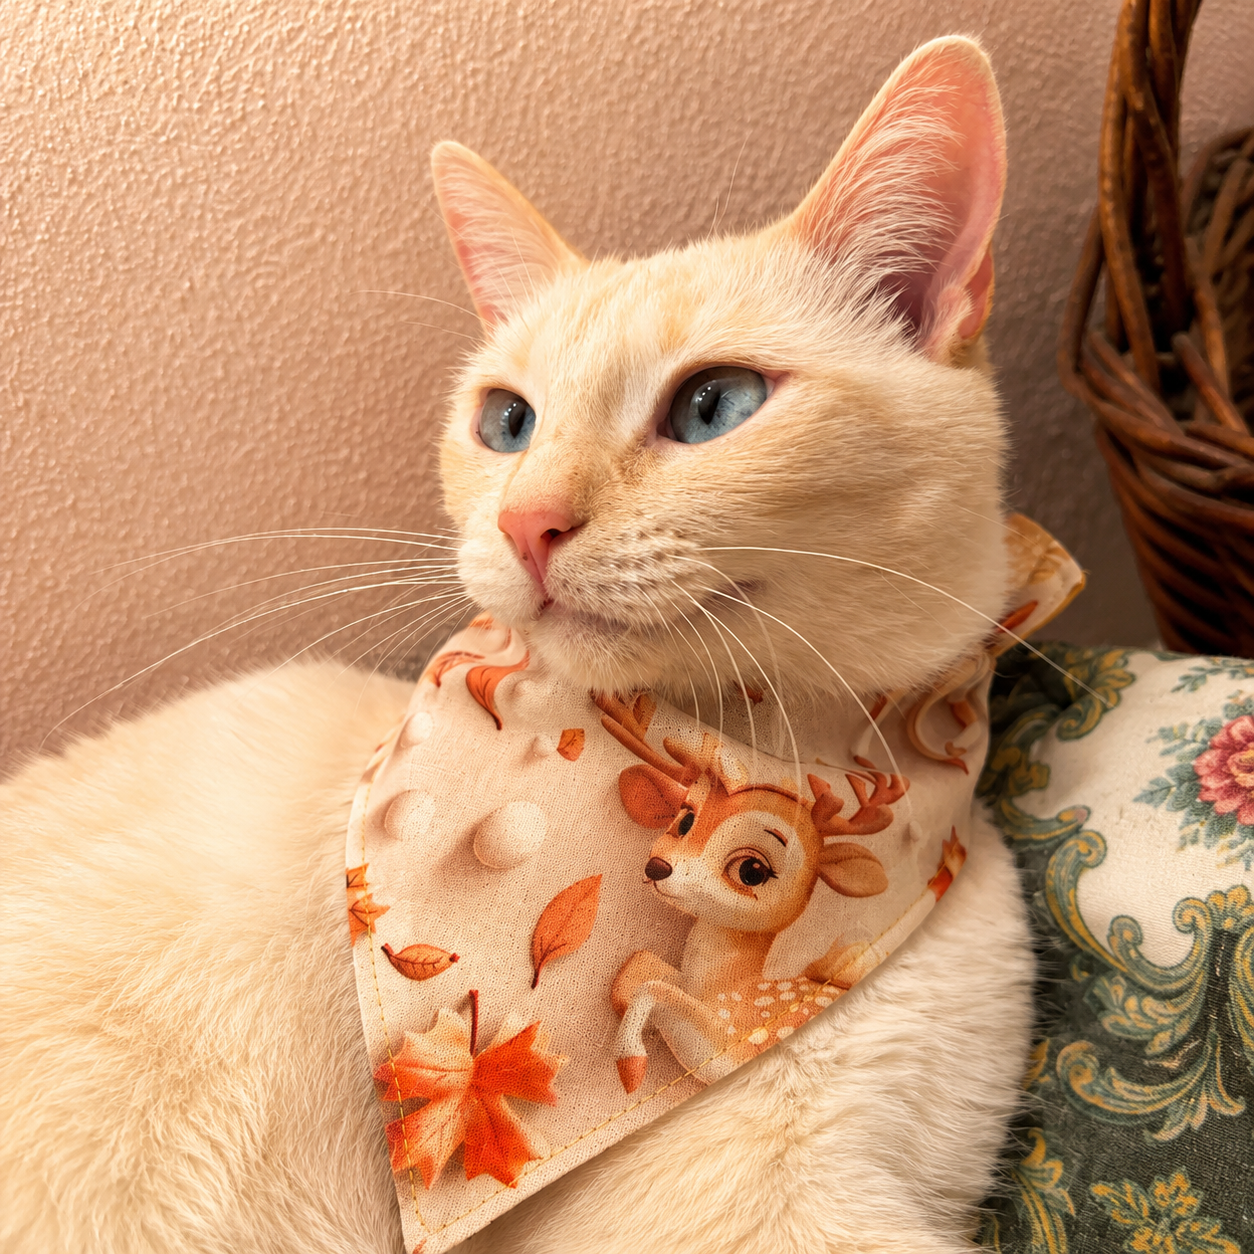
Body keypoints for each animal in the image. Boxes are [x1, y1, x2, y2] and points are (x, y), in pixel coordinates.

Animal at [594, 692, 962, 1095]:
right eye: (685, 820)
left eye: (752, 871)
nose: (657, 867)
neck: (723, 985)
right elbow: (638, 969)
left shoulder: (731, 1039)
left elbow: (654, 988)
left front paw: (631, 1065)